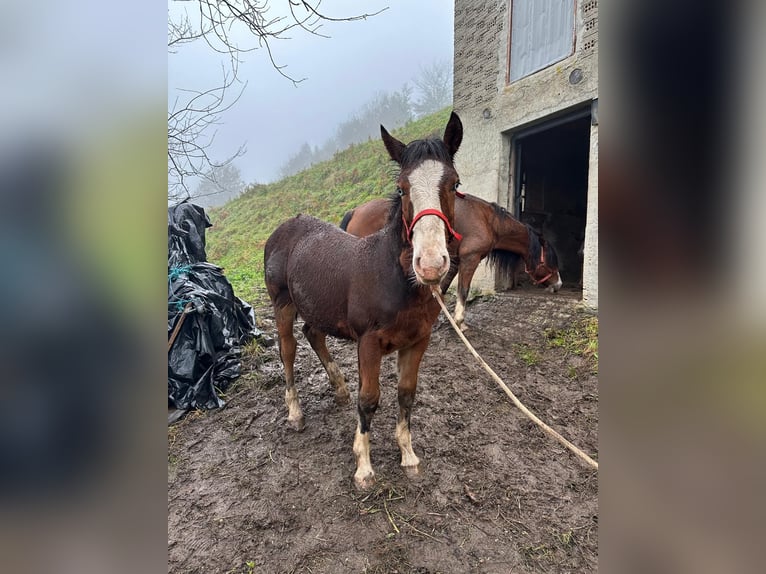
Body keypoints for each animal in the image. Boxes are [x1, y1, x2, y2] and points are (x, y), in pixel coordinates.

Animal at [264, 112, 464, 490]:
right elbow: (369, 399)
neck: (397, 280)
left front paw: (408, 456)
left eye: (455, 184)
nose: (431, 264)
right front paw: (364, 467)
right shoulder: (368, 343)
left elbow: (406, 392)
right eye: (402, 188)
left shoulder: (418, 340)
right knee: (288, 351)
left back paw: (339, 388)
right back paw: (295, 412)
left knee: (314, 333)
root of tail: (282, 229)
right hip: (282, 304)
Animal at [342, 194, 564, 330]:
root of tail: (355, 211)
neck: (487, 220)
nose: (559, 284)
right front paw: (459, 322)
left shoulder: (454, 260)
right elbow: (463, 291)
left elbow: (443, 288)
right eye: (550, 262)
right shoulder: (470, 259)